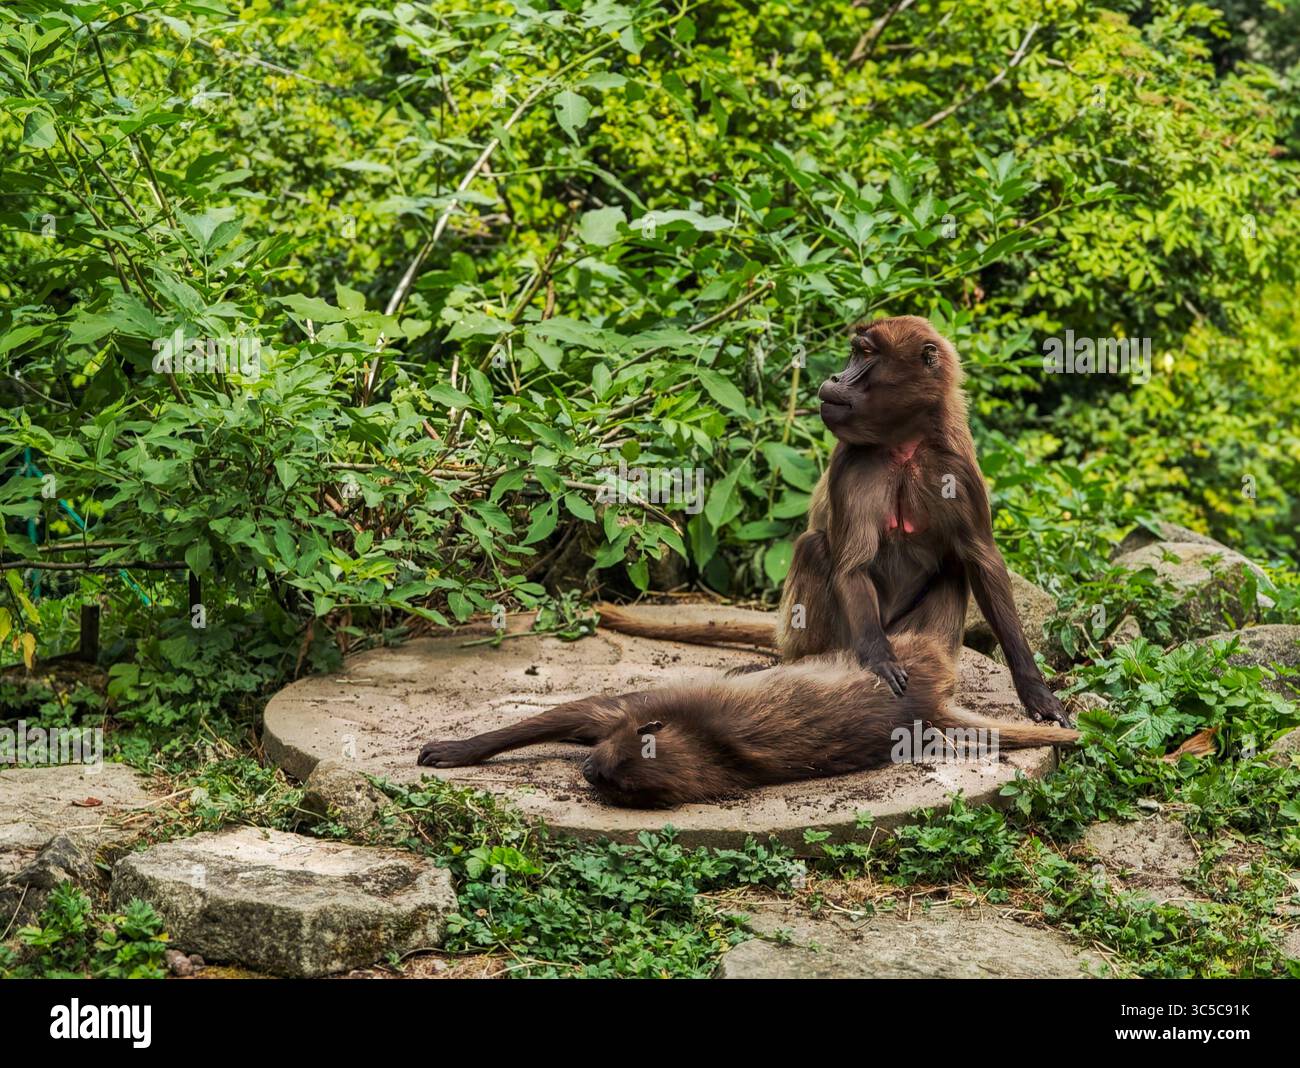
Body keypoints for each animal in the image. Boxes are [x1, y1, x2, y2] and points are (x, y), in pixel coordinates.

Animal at [416, 630, 1078, 807]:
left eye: (616, 779)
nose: (586, 774)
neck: (709, 747)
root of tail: (925, 705)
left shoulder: (635, 712)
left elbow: (567, 715)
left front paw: (453, 749)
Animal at [597, 315, 1069, 727]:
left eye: (864, 355)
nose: (837, 379)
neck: (905, 444)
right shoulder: (851, 466)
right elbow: (851, 564)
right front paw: (879, 659)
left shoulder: (959, 469)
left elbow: (981, 561)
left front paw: (1036, 692)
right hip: (830, 636)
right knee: (816, 548)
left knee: (954, 566)